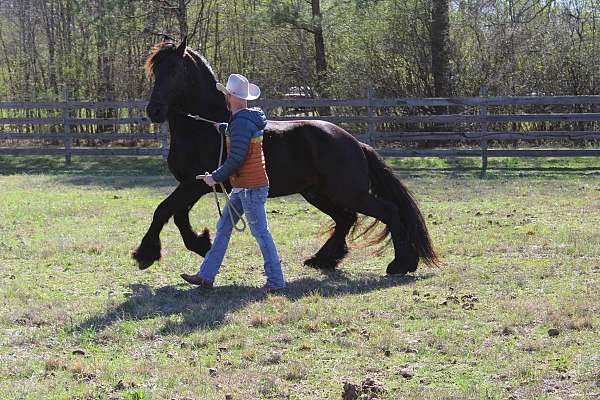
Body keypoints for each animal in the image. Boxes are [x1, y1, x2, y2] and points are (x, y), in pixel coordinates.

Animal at [135, 37, 436, 274]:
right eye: (155, 71)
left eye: (175, 70)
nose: (154, 111)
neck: (207, 126)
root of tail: (354, 142)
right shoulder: (195, 184)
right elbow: (176, 215)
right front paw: (201, 243)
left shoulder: (196, 183)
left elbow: (163, 210)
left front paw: (145, 254)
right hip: (317, 193)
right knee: (346, 219)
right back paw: (323, 259)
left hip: (348, 192)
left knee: (387, 211)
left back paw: (401, 264)